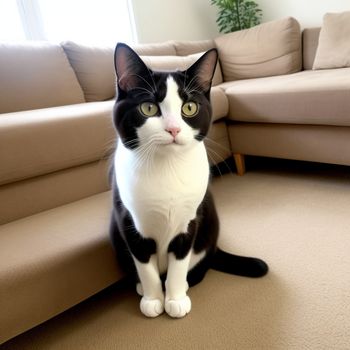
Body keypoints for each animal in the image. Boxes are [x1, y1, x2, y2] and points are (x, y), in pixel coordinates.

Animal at [110, 42, 268, 318]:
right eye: (148, 108)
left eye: (189, 107)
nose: (173, 129)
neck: (167, 168)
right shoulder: (129, 221)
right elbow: (145, 266)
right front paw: (153, 299)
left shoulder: (190, 219)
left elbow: (179, 263)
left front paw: (174, 299)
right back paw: (141, 287)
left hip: (210, 224)